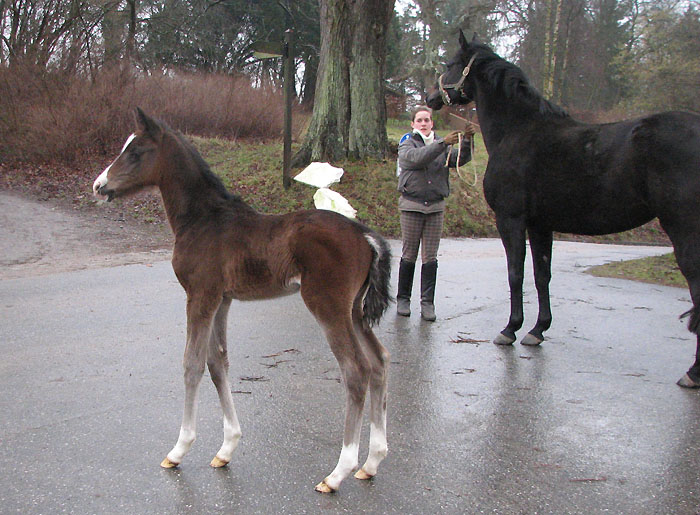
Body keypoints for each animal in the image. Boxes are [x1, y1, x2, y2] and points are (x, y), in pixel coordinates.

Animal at [430, 31, 700, 388]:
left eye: (450, 64)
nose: (431, 97)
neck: (518, 131)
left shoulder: (511, 219)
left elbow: (515, 272)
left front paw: (509, 329)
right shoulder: (540, 224)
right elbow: (542, 275)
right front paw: (537, 330)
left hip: (683, 230)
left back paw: (693, 373)